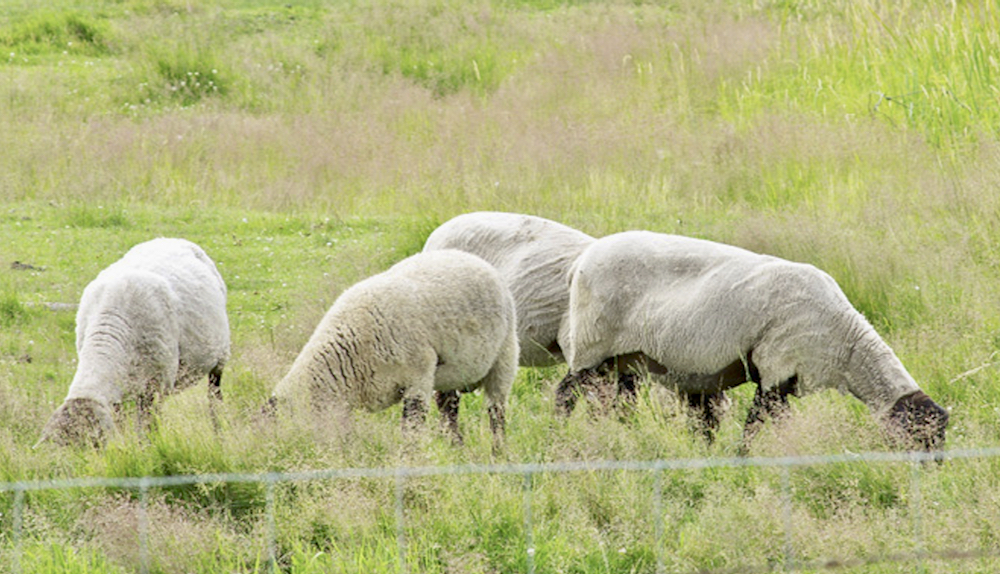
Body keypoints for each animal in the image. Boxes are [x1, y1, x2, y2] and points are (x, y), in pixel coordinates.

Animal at [37, 238, 230, 450]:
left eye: (92, 445)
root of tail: (171, 239)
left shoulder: (156, 387)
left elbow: (149, 427)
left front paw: (150, 449)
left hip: (219, 359)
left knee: (214, 398)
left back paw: (219, 433)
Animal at [270, 250, 520, 452]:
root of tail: (471, 257)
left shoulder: (418, 377)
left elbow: (411, 429)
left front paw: (410, 461)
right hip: (453, 372)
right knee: (449, 408)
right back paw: (456, 447)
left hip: (505, 355)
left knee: (496, 411)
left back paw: (498, 452)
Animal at [560, 231, 948, 454]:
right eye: (921, 437)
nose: (933, 474)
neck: (847, 345)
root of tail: (582, 261)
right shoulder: (776, 370)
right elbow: (754, 427)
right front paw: (743, 460)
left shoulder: (787, 381)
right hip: (592, 344)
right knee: (564, 393)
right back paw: (556, 432)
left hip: (626, 358)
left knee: (618, 405)